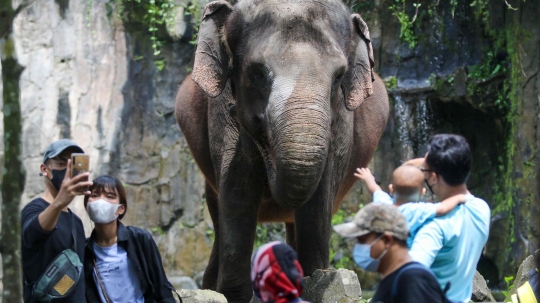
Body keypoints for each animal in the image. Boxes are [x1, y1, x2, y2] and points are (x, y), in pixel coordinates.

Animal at [175, 1, 390, 302]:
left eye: (338, 77)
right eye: (257, 73)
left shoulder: (339, 128)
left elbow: (318, 198)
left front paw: (317, 280)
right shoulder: (221, 115)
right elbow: (238, 189)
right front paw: (232, 292)